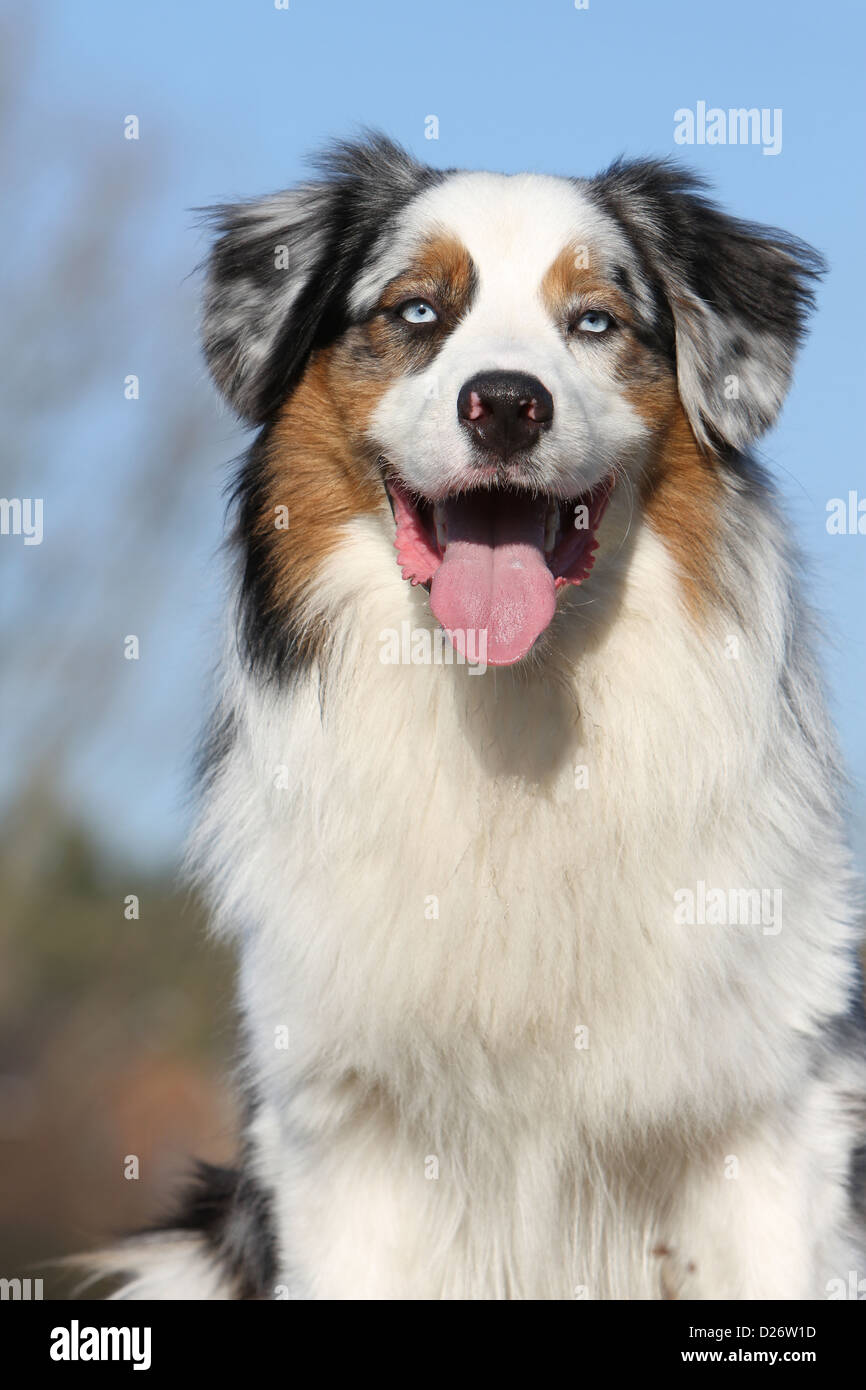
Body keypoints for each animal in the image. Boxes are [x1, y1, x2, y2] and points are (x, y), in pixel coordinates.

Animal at [96, 135, 866, 1295]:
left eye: (593, 321)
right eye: (416, 310)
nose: (505, 403)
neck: (514, 709)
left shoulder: (770, 1119)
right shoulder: (343, 1134)